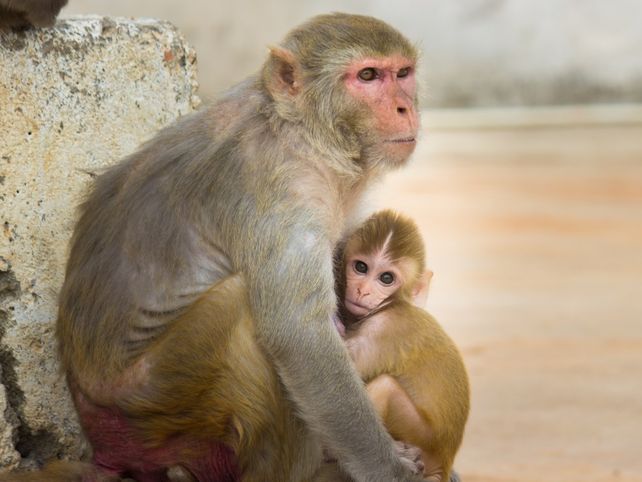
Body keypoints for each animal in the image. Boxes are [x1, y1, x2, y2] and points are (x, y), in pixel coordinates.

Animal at [0, 13, 427, 482]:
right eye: (367, 76)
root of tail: (102, 442)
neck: (299, 131)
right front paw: (391, 469)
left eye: (402, 74)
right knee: (240, 306)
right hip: (157, 399)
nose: (405, 107)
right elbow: (300, 337)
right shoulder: (283, 193)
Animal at [335, 209, 470, 482]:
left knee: (384, 386)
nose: (362, 290)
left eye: (386, 278)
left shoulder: (383, 329)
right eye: (361, 267)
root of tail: (445, 458)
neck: (391, 304)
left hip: (423, 436)